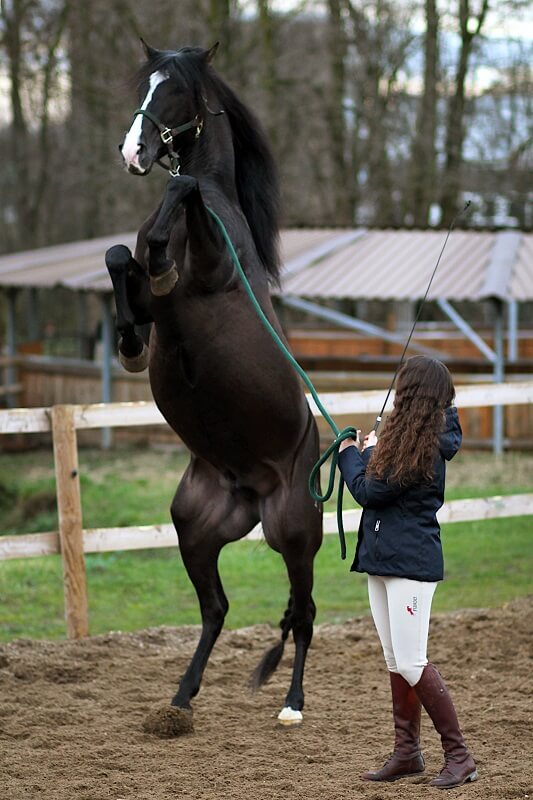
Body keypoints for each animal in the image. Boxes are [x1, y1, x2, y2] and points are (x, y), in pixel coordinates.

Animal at [104, 42, 320, 732]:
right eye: (142, 86)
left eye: (174, 91)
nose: (133, 152)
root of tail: (247, 492)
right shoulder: (148, 299)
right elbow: (121, 259)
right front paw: (129, 346)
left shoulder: (212, 267)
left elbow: (183, 188)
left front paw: (165, 257)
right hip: (194, 528)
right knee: (217, 607)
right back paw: (181, 696)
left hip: (293, 532)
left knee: (303, 615)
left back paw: (291, 704)